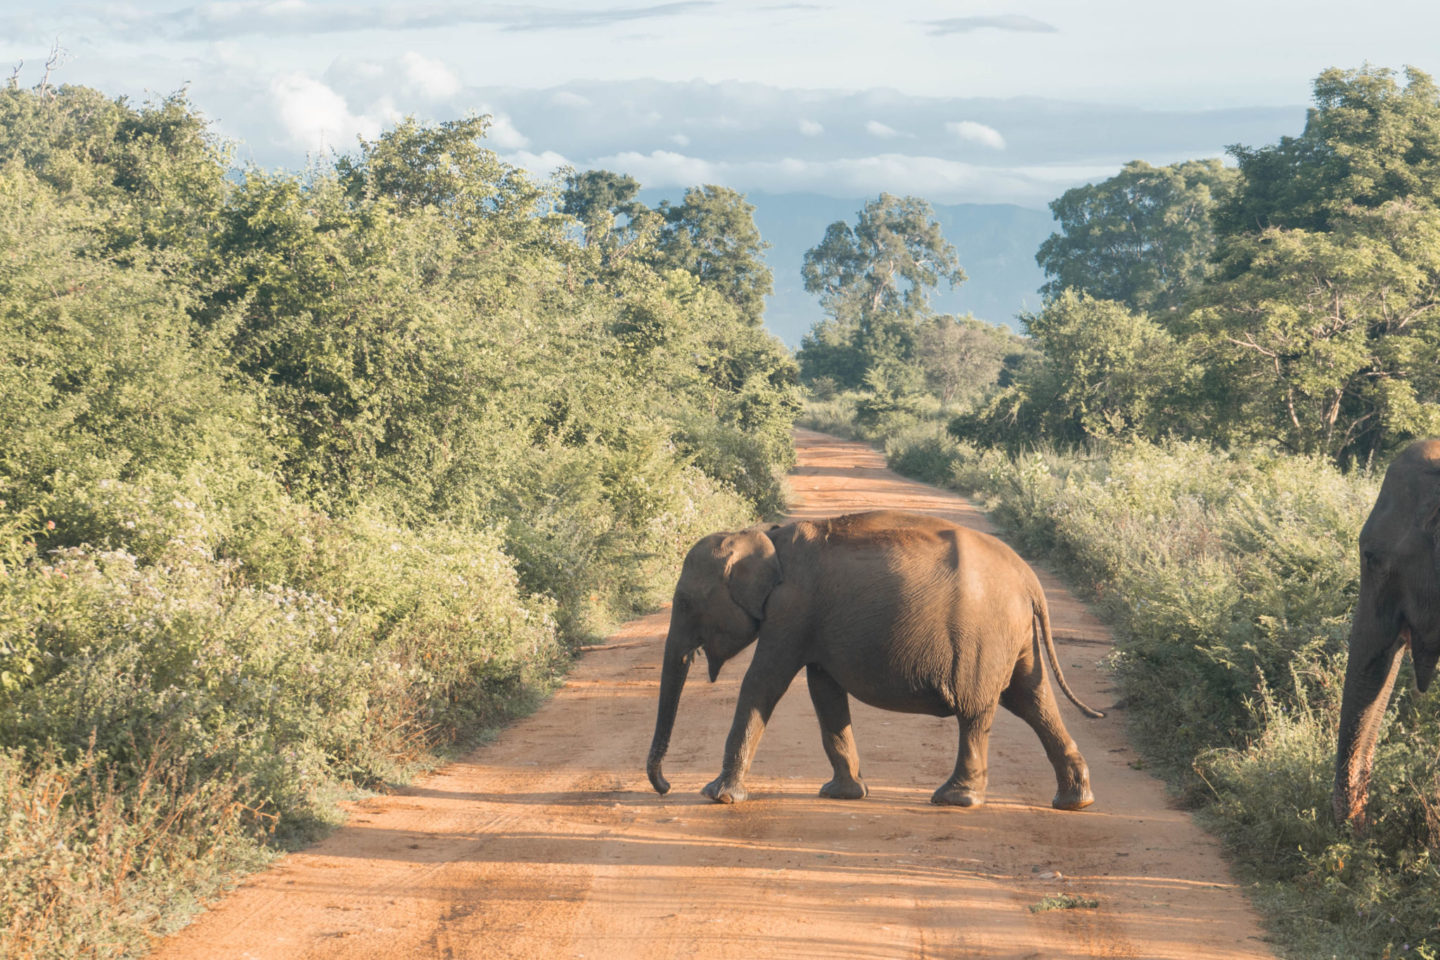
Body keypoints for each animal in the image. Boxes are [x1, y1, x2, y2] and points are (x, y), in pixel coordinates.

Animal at [648, 509, 1105, 811]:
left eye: (685, 602)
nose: (665, 786)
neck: (763, 537)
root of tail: (1030, 579)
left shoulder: (791, 610)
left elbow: (763, 683)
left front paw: (719, 796)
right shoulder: (810, 623)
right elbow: (823, 691)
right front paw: (843, 794)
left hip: (985, 635)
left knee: (976, 709)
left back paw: (955, 799)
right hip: (1013, 635)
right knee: (1032, 698)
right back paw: (1074, 801)